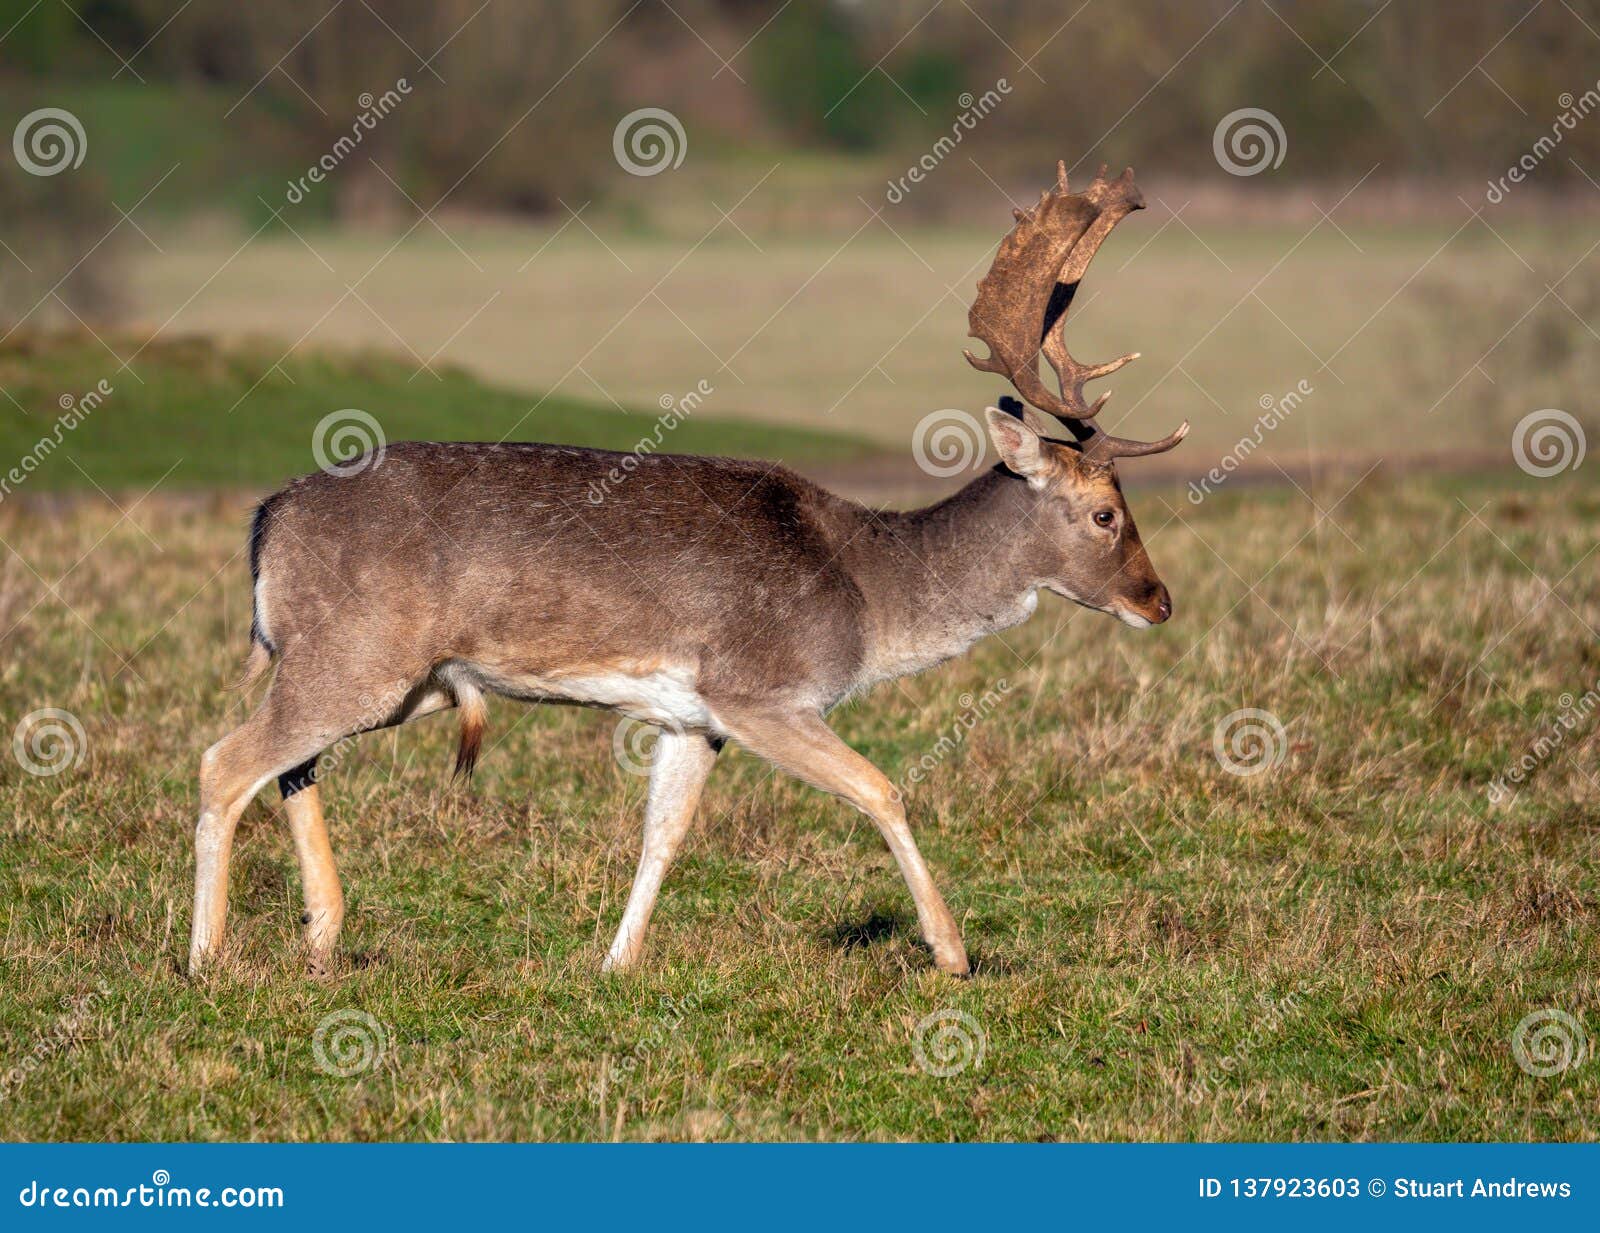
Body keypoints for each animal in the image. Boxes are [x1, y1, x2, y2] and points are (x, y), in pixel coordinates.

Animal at [187, 163, 1190, 978]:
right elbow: (883, 787)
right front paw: (951, 952)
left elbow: (663, 834)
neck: (870, 597)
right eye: (1106, 513)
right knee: (223, 759)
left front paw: (614, 963)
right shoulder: (762, 689)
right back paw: (205, 957)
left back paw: (323, 936)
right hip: (357, 652)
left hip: (408, 680)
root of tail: (267, 519)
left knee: (290, 764)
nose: (1160, 600)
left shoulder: (691, 716)